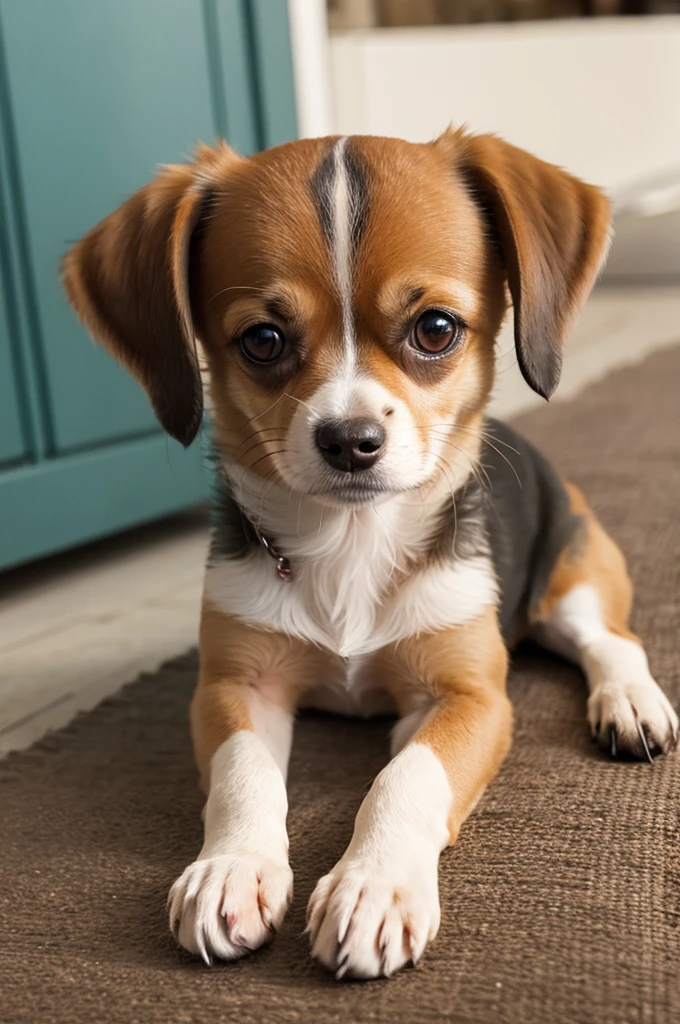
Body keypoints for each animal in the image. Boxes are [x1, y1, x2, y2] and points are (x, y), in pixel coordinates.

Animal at [63, 132, 680, 978]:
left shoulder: (468, 696)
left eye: (436, 329)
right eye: (262, 340)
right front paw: (232, 868)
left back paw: (630, 703)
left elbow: (404, 777)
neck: (351, 546)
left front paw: (375, 887)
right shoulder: (233, 686)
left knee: (609, 641)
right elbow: (243, 775)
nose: (350, 442)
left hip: (574, 576)